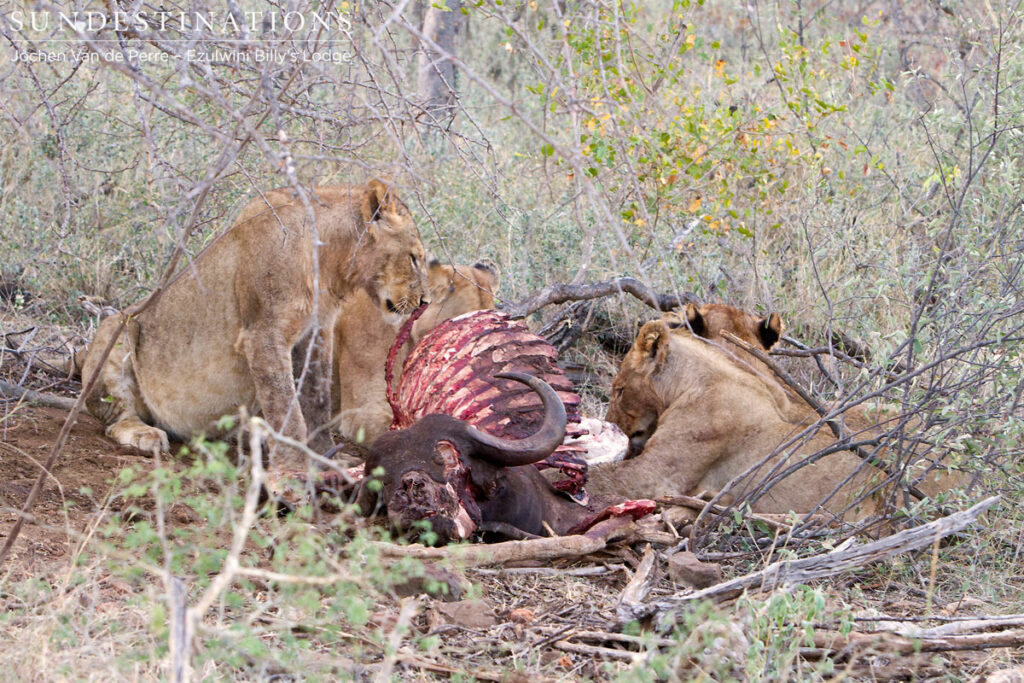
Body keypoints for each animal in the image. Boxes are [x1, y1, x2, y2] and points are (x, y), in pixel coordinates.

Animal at [81, 179, 429, 493]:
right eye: (414, 257)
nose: (424, 302)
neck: (330, 262)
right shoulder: (263, 334)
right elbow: (287, 408)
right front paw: (293, 470)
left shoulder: (316, 333)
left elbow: (315, 402)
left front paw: (324, 459)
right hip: (118, 328)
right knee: (117, 415)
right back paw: (144, 433)